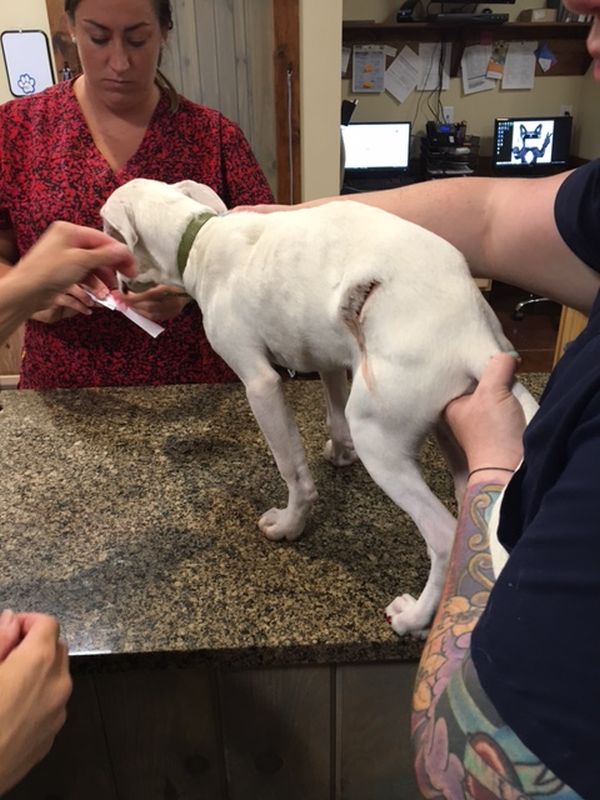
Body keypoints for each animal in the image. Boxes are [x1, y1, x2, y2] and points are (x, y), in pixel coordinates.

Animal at [101, 178, 537, 635]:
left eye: (109, 235)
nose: (114, 283)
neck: (200, 239)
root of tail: (475, 337)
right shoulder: (331, 359)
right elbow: (333, 414)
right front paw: (340, 456)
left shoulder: (260, 384)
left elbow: (292, 469)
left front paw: (289, 524)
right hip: (448, 424)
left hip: (379, 440)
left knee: (441, 535)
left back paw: (414, 617)